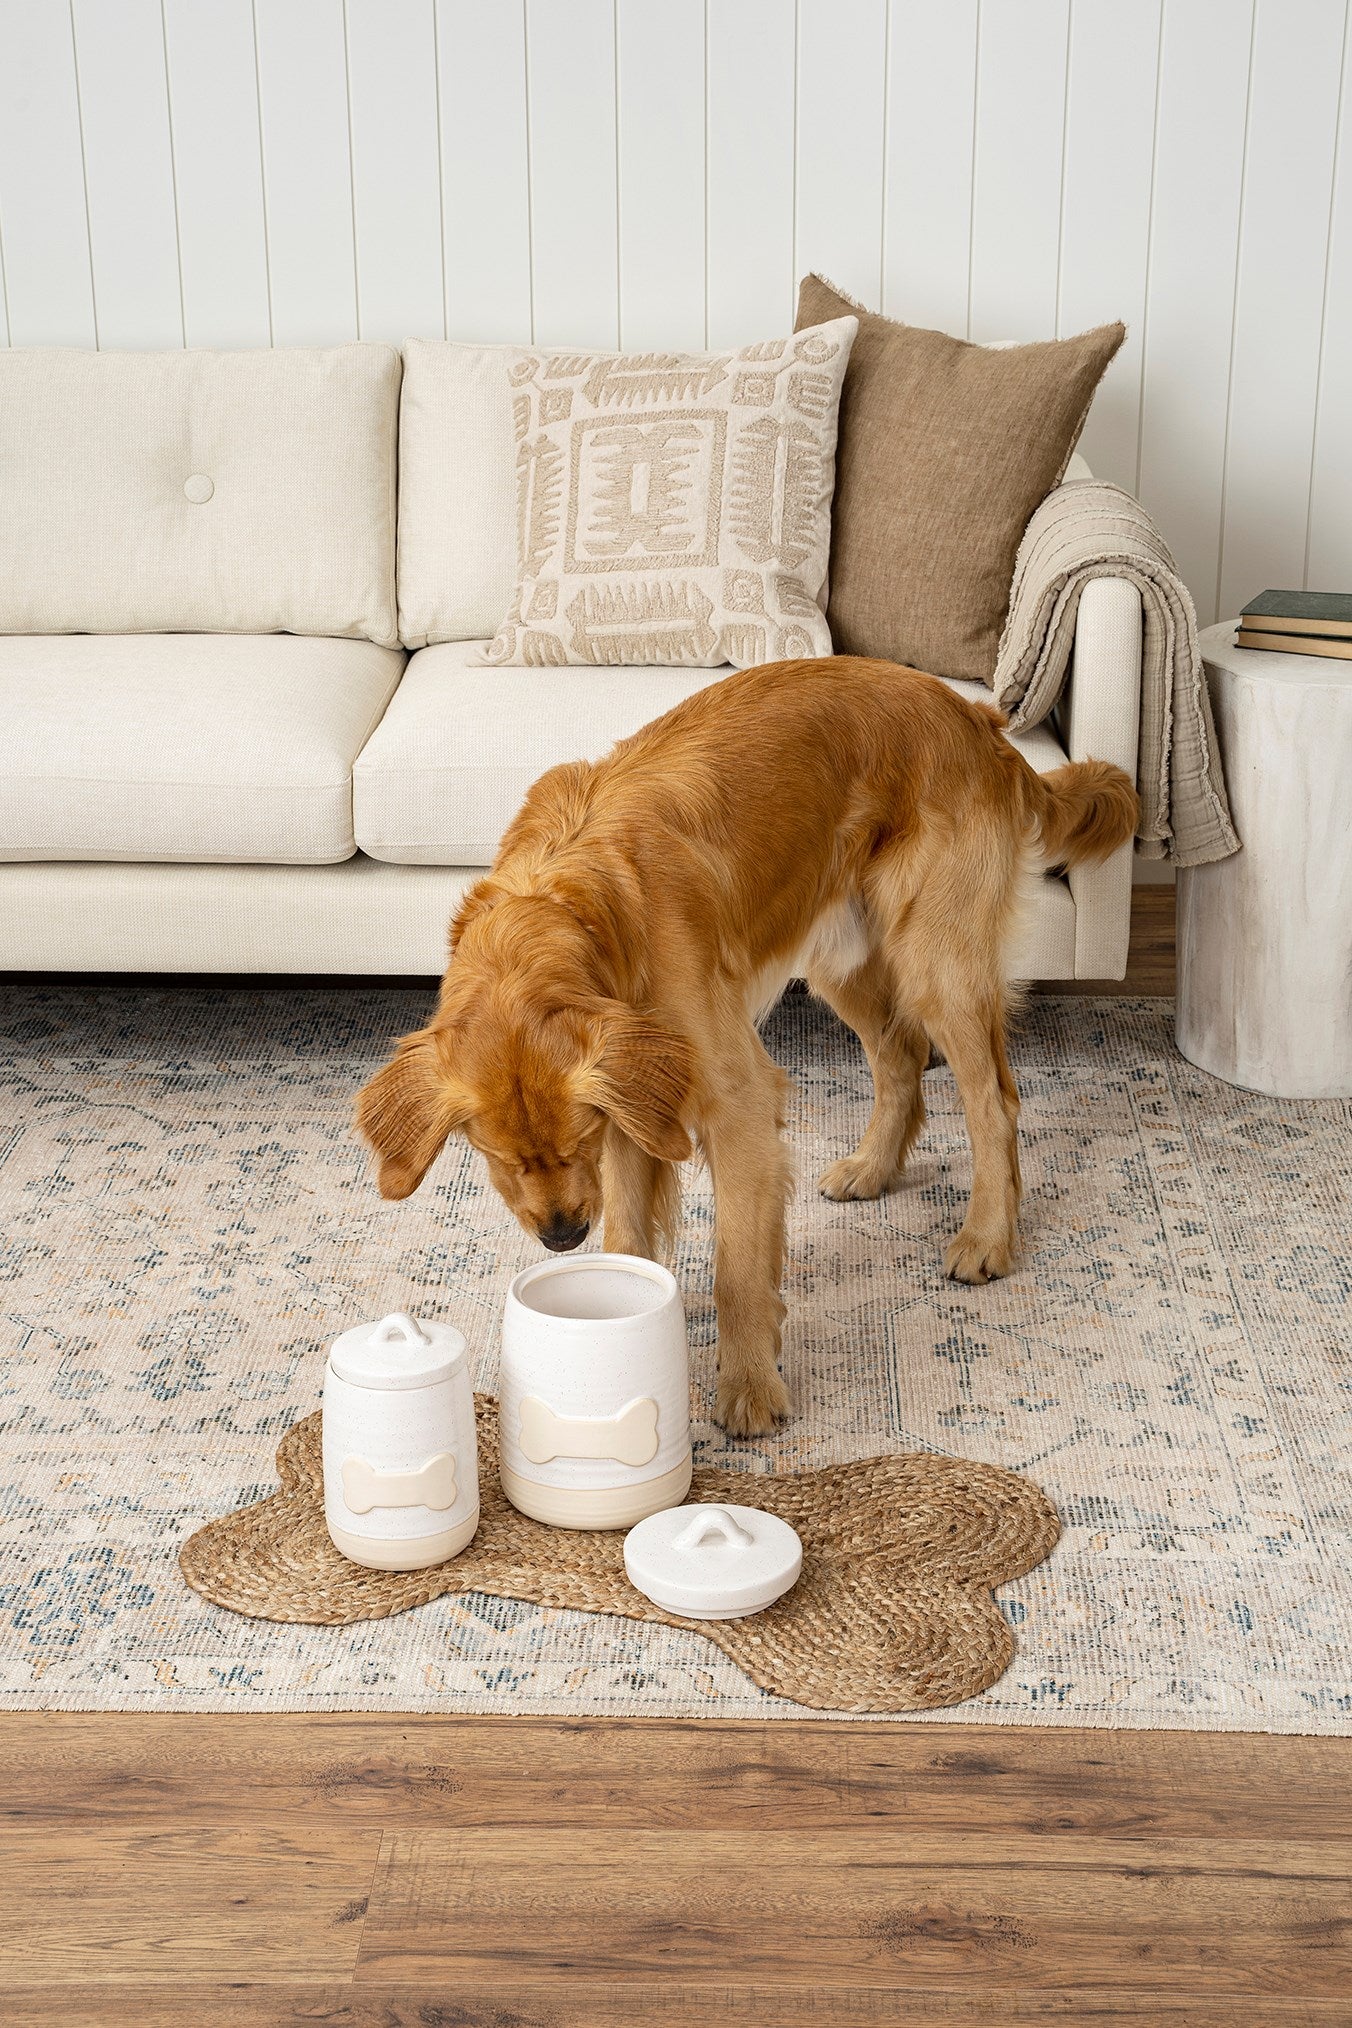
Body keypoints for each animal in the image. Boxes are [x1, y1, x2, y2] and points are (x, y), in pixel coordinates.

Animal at [354, 657, 1135, 1435]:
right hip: (840, 956)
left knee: (992, 1101)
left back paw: (986, 1238)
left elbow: (737, 1265)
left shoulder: (732, 1102)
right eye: (499, 1158)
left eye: (575, 1146)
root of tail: (977, 717)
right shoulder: (634, 1100)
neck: (578, 909)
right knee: (900, 1060)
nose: (562, 1236)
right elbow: (629, 1236)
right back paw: (873, 1169)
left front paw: (749, 1387)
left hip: (935, 961)